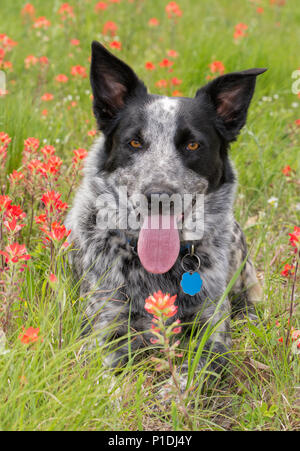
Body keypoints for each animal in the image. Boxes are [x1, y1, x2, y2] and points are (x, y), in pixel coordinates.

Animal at [66, 40, 264, 384]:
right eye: (134, 142)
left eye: (193, 145)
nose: (158, 196)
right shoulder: (103, 327)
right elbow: (108, 379)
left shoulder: (212, 328)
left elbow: (192, 373)